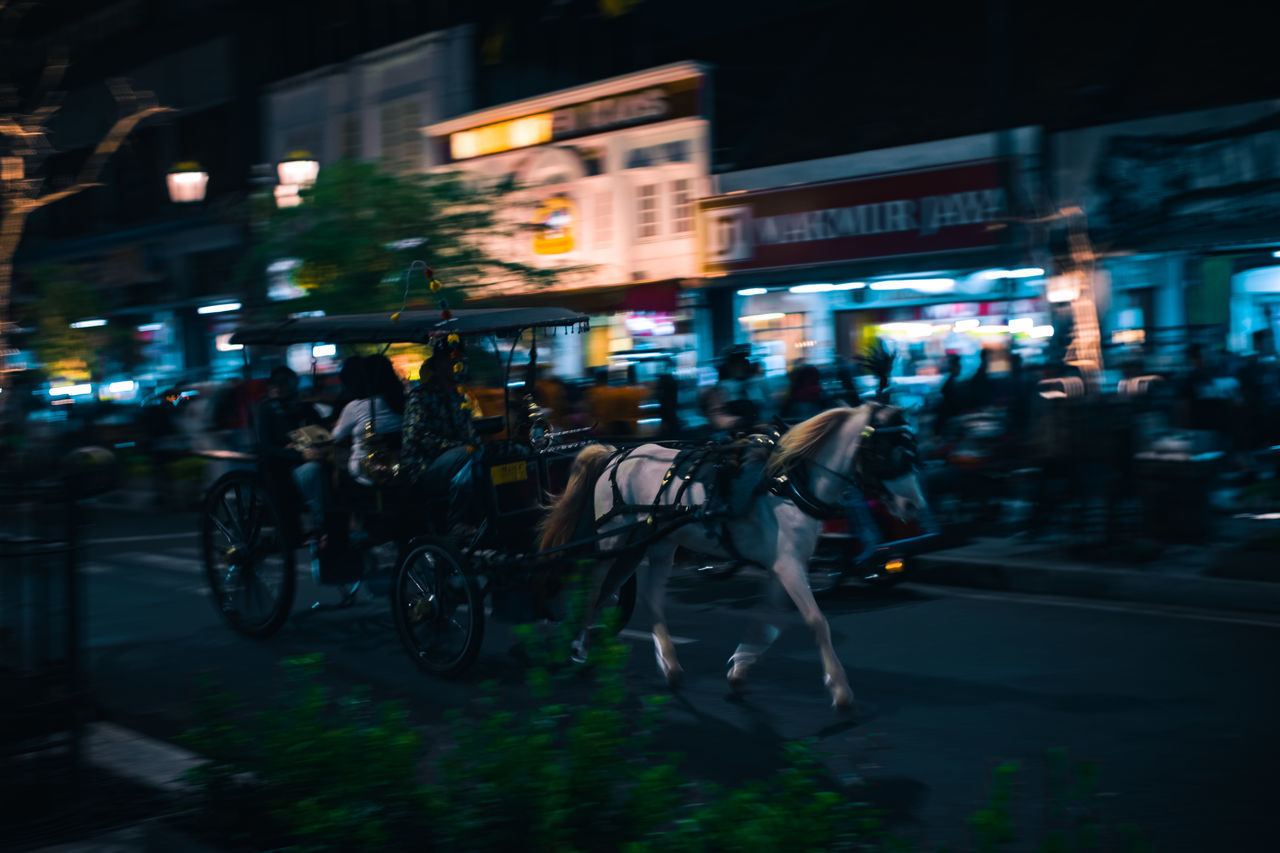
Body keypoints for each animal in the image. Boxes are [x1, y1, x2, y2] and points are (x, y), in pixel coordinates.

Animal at [542, 402, 931, 706]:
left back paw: (667, 664)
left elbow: (771, 620)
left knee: (644, 597)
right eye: (887, 451)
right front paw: (839, 689)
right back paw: (579, 649)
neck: (790, 482)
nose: (914, 507)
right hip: (613, 543)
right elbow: (816, 621)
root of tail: (617, 455)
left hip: (649, 545)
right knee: (595, 591)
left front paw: (740, 667)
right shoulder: (788, 566)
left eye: (913, 449)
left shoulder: (782, 566)